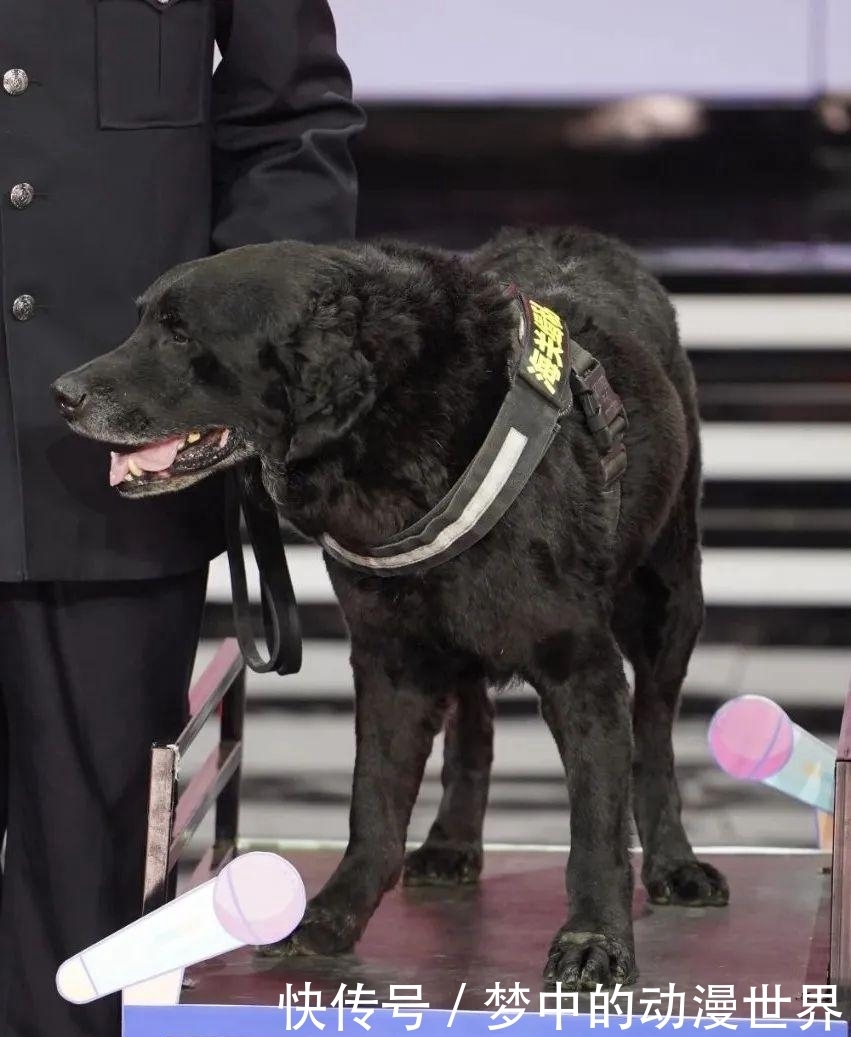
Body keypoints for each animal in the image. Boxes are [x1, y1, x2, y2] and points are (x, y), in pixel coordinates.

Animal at [53, 227, 725, 987]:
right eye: (142, 321)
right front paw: (330, 918)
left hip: (668, 598)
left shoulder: (580, 664)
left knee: (655, 736)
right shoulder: (391, 657)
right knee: (474, 724)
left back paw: (675, 862)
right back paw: (452, 841)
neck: (394, 423)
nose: (62, 394)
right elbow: (372, 804)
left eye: (178, 333)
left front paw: (595, 938)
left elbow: (597, 822)